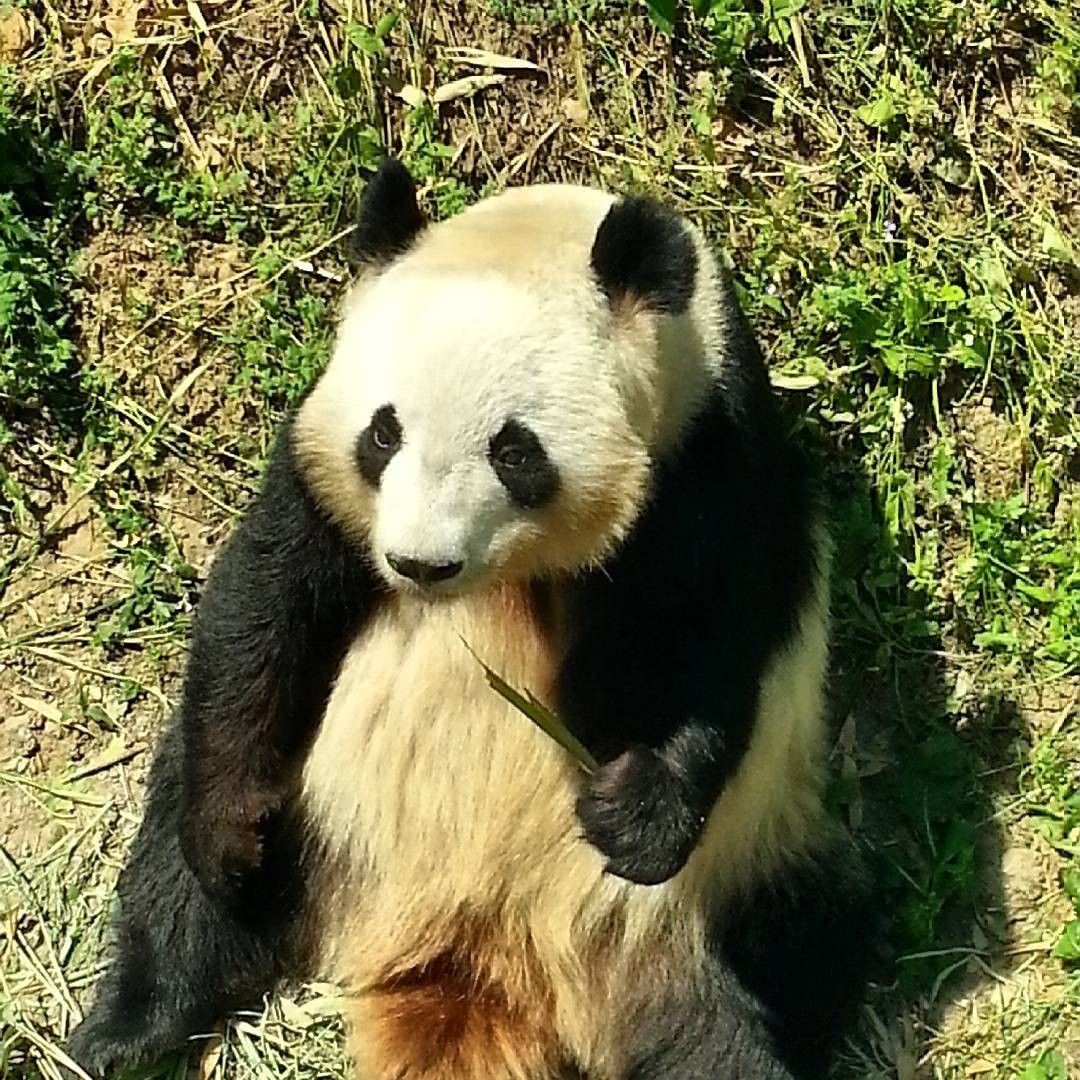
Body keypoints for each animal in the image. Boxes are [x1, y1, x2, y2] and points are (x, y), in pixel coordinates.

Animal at [67, 159, 872, 1080]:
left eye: (515, 451)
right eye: (383, 435)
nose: (420, 565)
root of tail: (474, 945)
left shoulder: (711, 456)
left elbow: (711, 643)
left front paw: (633, 814)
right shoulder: (319, 477)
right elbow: (262, 603)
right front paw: (232, 838)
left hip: (725, 886)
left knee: (783, 960)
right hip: (319, 813)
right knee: (175, 883)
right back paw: (126, 1029)